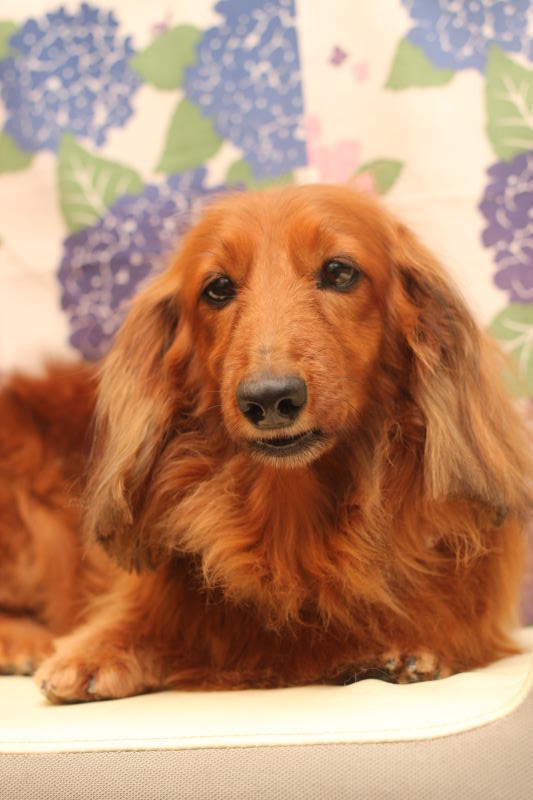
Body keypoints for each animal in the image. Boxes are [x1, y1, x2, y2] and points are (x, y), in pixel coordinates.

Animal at [0, 185, 530, 702]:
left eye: (339, 271)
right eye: (217, 288)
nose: (270, 399)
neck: (291, 515)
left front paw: (404, 650)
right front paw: (97, 650)